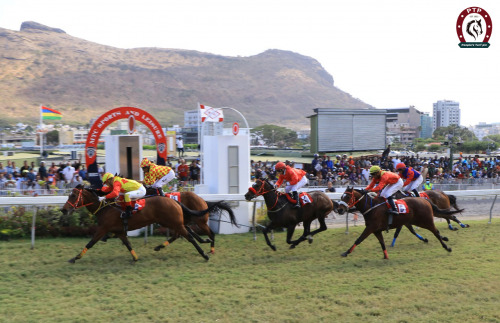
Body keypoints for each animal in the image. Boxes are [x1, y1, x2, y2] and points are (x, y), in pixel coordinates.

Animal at [62, 185, 225, 264]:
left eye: (74, 195)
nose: (64, 210)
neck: (106, 207)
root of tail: (173, 201)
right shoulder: (119, 231)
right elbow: (128, 244)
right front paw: (135, 258)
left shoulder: (103, 228)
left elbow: (90, 243)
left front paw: (74, 258)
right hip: (171, 222)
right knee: (184, 234)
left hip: (176, 223)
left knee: (189, 236)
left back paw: (205, 254)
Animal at [334, 187, 462, 260]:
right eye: (342, 196)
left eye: (348, 196)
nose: (340, 209)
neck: (371, 207)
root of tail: (425, 200)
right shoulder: (377, 230)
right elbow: (382, 243)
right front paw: (386, 256)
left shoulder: (371, 228)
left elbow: (359, 239)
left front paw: (346, 253)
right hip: (418, 220)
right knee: (442, 224)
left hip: (426, 220)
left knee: (438, 229)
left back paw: (448, 245)